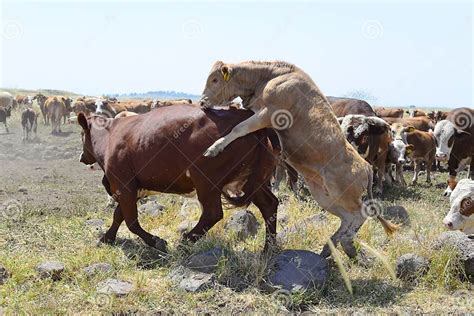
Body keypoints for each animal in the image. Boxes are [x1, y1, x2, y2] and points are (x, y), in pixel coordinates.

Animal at [77, 105, 278, 253]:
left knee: (212, 213)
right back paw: (269, 249)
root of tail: (244, 115)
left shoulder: (124, 185)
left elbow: (131, 221)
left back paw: (185, 241)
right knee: (269, 204)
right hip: (254, 182)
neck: (110, 135)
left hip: (206, 181)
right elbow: (119, 215)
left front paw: (157, 242)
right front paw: (107, 238)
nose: (81, 157)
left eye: (81, 134)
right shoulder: (132, 188)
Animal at [198, 59, 398, 260]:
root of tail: (366, 167)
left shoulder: (268, 113)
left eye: (215, 79)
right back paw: (333, 246)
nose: (202, 102)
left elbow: (239, 128)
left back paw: (345, 244)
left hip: (343, 195)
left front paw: (214, 148)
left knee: (359, 215)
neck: (271, 76)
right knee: (347, 217)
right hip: (325, 196)